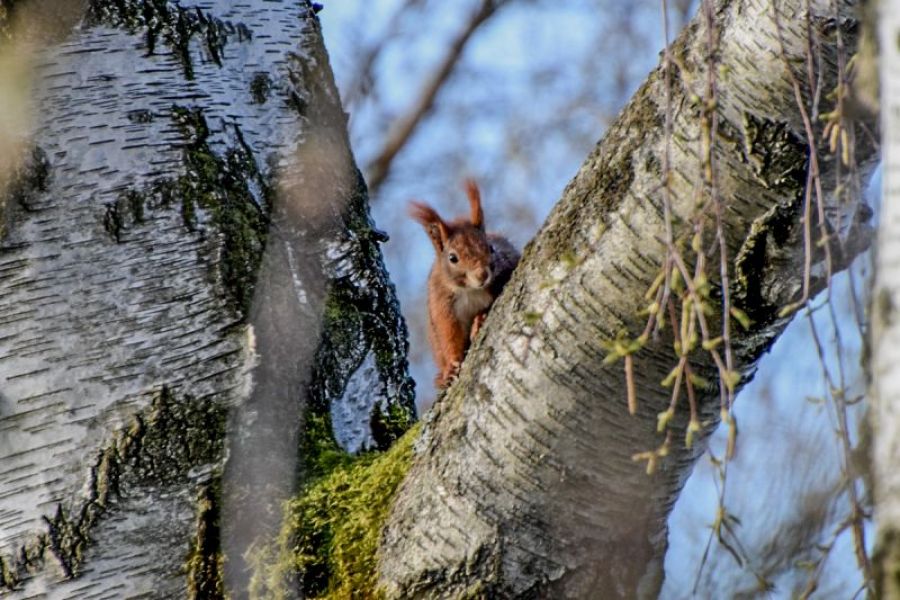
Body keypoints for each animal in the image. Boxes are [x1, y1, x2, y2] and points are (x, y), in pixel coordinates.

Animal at [410, 178, 520, 390]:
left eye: (491, 248)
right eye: (453, 258)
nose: (482, 274)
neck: (470, 290)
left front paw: (479, 320)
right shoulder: (443, 306)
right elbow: (450, 336)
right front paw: (452, 367)